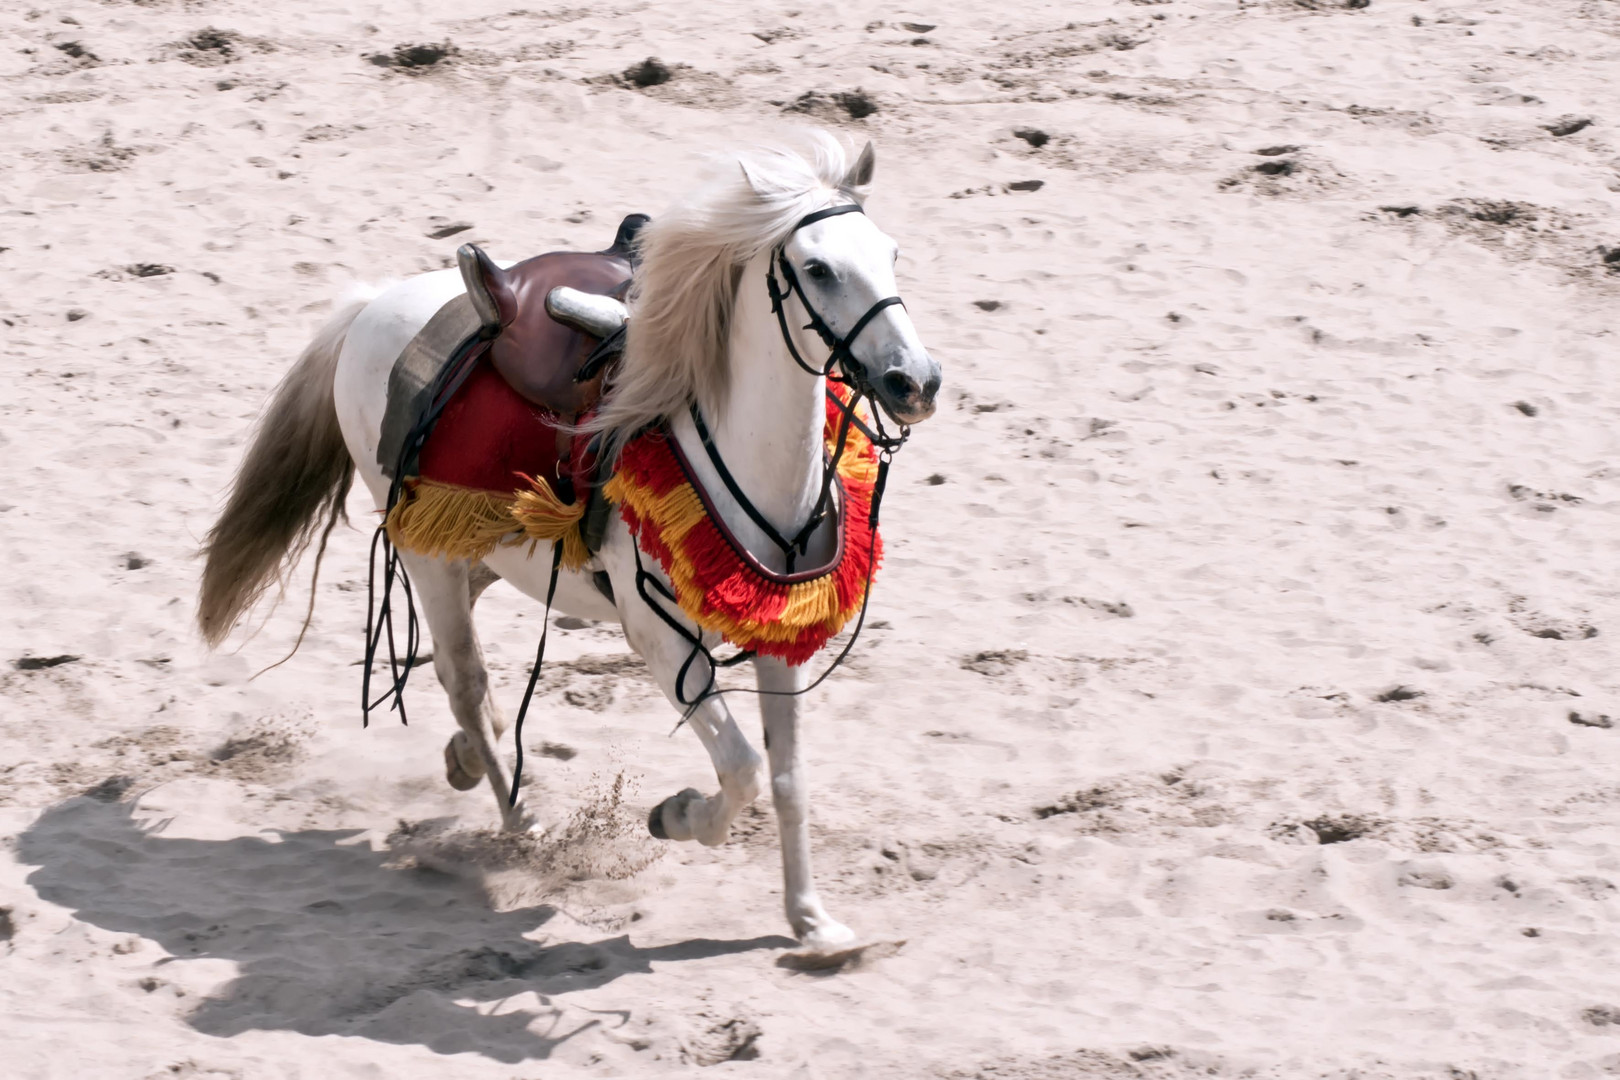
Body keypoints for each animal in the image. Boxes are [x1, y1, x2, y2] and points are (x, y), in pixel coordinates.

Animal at [196, 137, 946, 952]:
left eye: (891, 253)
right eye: (817, 269)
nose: (915, 381)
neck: (751, 464)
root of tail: (373, 304)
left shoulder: (781, 639)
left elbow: (785, 779)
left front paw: (811, 920)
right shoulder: (665, 645)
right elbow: (743, 770)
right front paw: (676, 815)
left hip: (481, 547)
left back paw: (470, 755)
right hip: (426, 553)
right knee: (463, 678)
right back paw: (517, 813)